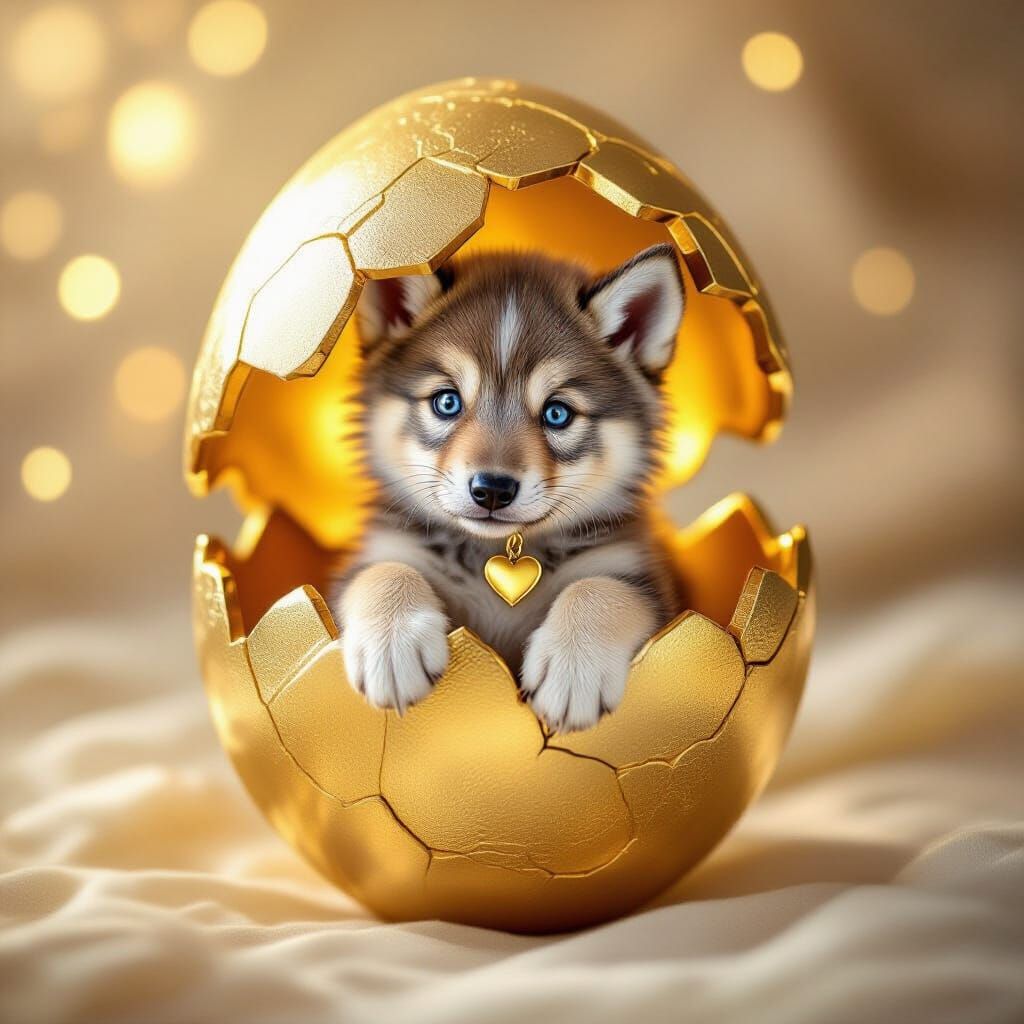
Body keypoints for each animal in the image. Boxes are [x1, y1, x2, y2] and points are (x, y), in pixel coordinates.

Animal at [331, 243, 686, 732]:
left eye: (557, 413)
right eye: (447, 402)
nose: (492, 489)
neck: (493, 553)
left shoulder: (642, 577)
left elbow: (601, 589)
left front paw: (575, 668)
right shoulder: (382, 550)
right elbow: (383, 571)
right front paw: (392, 642)